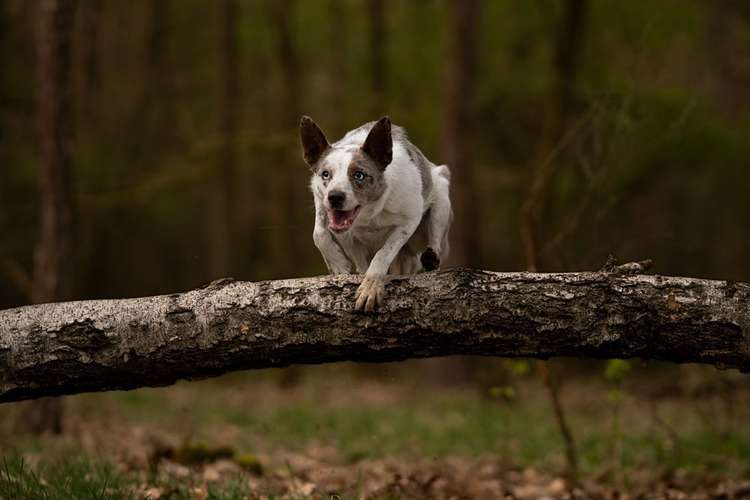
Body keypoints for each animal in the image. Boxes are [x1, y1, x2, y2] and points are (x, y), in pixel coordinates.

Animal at [300, 117, 452, 312]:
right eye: (325, 174)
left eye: (359, 175)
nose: (335, 197)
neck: (369, 215)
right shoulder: (324, 206)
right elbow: (319, 234)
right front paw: (338, 264)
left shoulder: (409, 220)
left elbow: (383, 253)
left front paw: (370, 287)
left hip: (441, 196)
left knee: (435, 241)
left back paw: (431, 258)